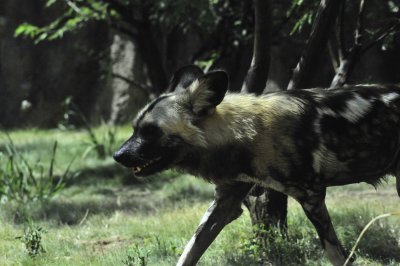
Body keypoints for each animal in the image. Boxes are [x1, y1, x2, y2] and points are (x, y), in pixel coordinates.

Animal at [113, 65, 400, 266]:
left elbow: (335, 253)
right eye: (135, 129)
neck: (246, 134)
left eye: (151, 131)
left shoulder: (312, 196)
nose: (118, 155)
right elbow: (189, 252)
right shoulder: (226, 203)